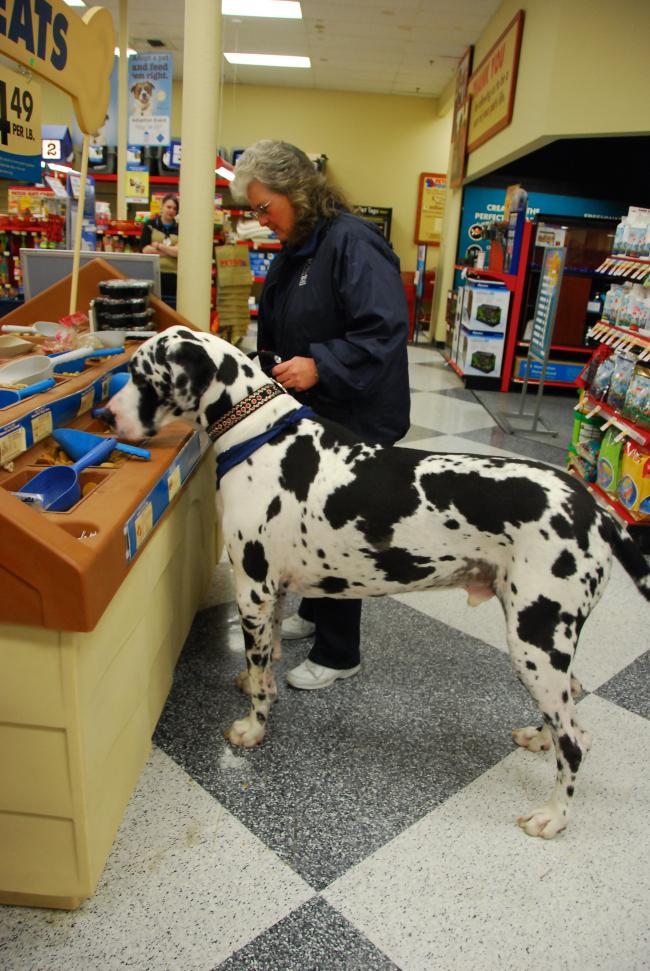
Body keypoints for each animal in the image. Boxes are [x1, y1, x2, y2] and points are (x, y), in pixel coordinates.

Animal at [105, 324, 648, 836]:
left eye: (140, 375)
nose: (107, 418)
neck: (259, 435)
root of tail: (597, 510)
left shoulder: (253, 589)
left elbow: (260, 676)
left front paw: (253, 728)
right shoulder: (271, 592)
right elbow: (268, 659)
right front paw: (262, 685)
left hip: (535, 639)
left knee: (575, 742)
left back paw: (553, 816)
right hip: (547, 641)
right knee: (573, 705)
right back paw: (539, 738)